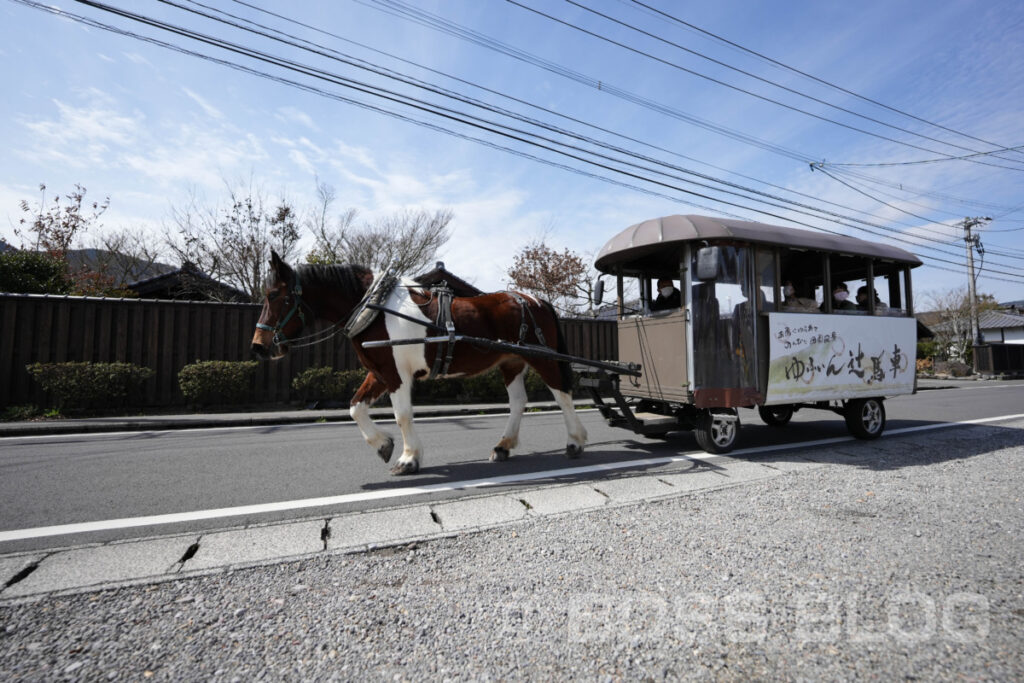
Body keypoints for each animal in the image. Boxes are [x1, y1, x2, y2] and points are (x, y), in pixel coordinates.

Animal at [248, 249, 589, 475]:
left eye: (274, 295)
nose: (259, 347)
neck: (375, 308)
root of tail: (534, 299)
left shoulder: (396, 373)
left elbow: (402, 415)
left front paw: (409, 458)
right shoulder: (380, 371)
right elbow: (355, 407)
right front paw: (383, 445)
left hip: (541, 357)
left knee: (562, 394)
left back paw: (574, 442)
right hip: (511, 362)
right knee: (519, 401)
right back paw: (503, 446)